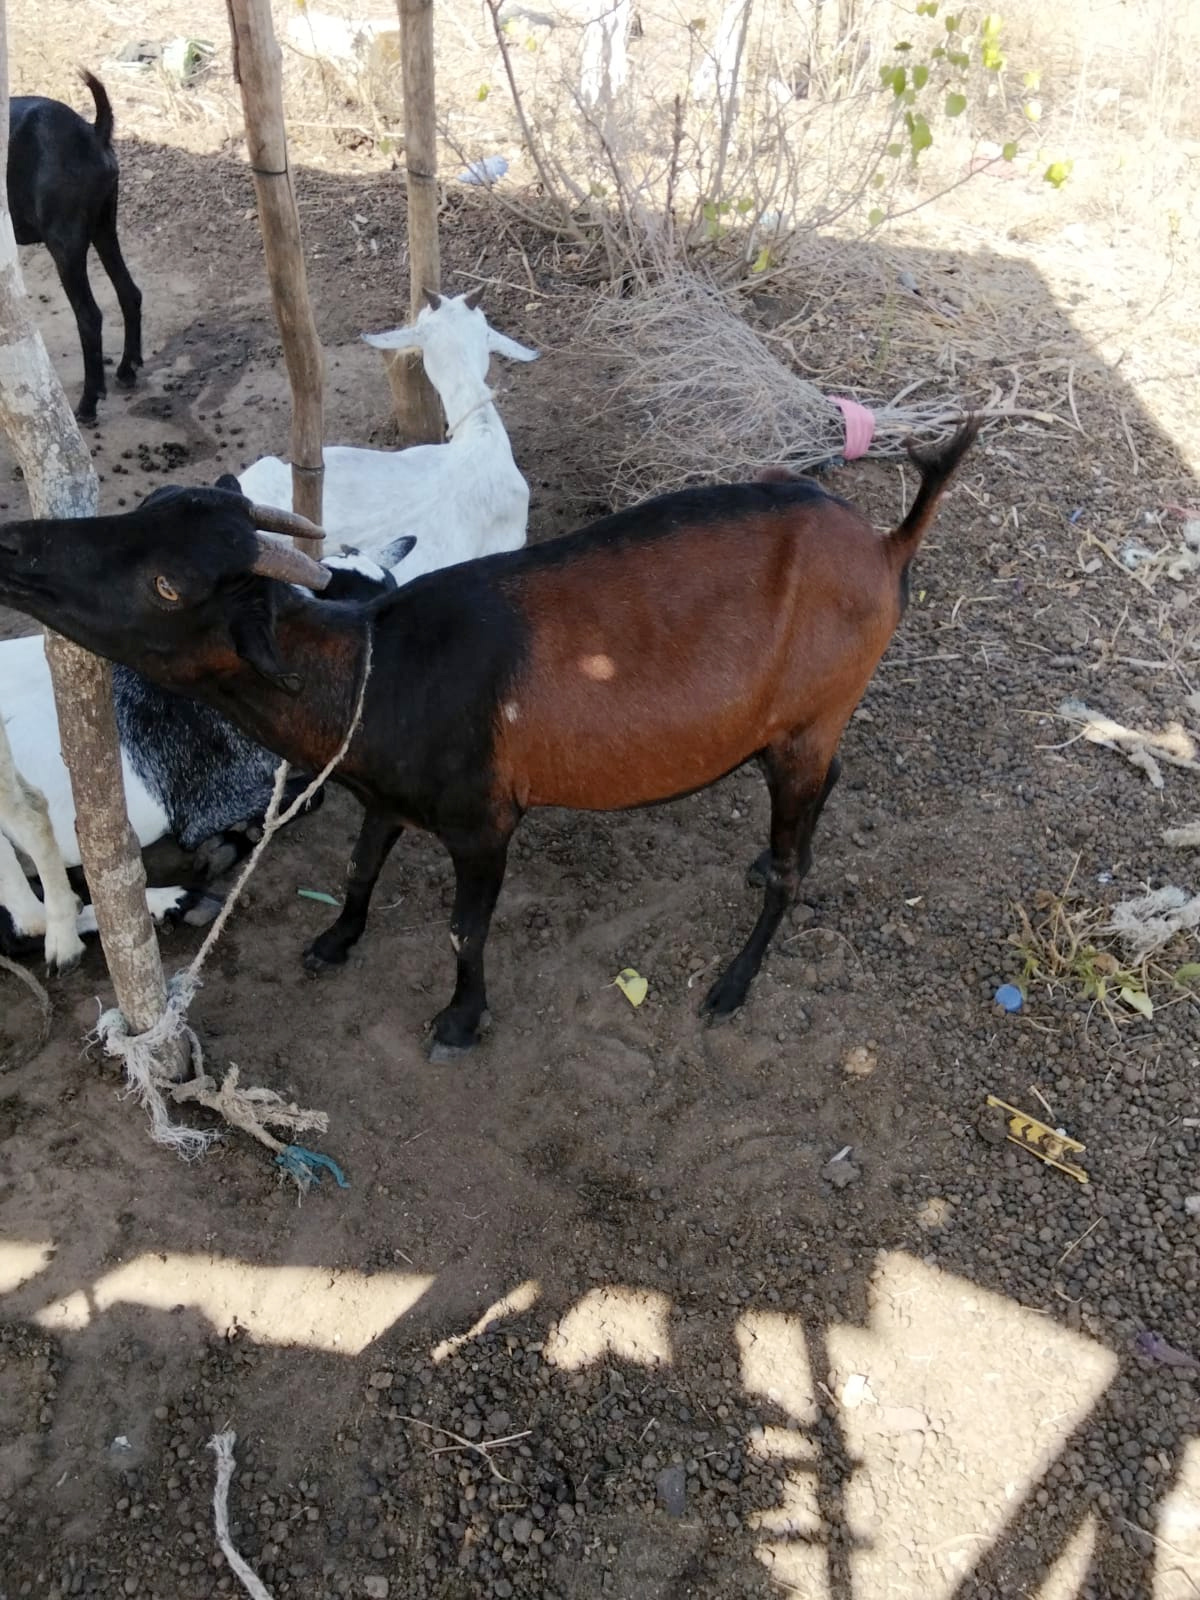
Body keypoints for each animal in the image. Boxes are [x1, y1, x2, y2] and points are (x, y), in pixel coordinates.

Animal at [8, 71, 143, 423]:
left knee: (90, 316)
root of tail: (93, 134)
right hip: (103, 226)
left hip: (65, 242)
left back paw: (88, 402)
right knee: (129, 291)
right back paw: (127, 369)